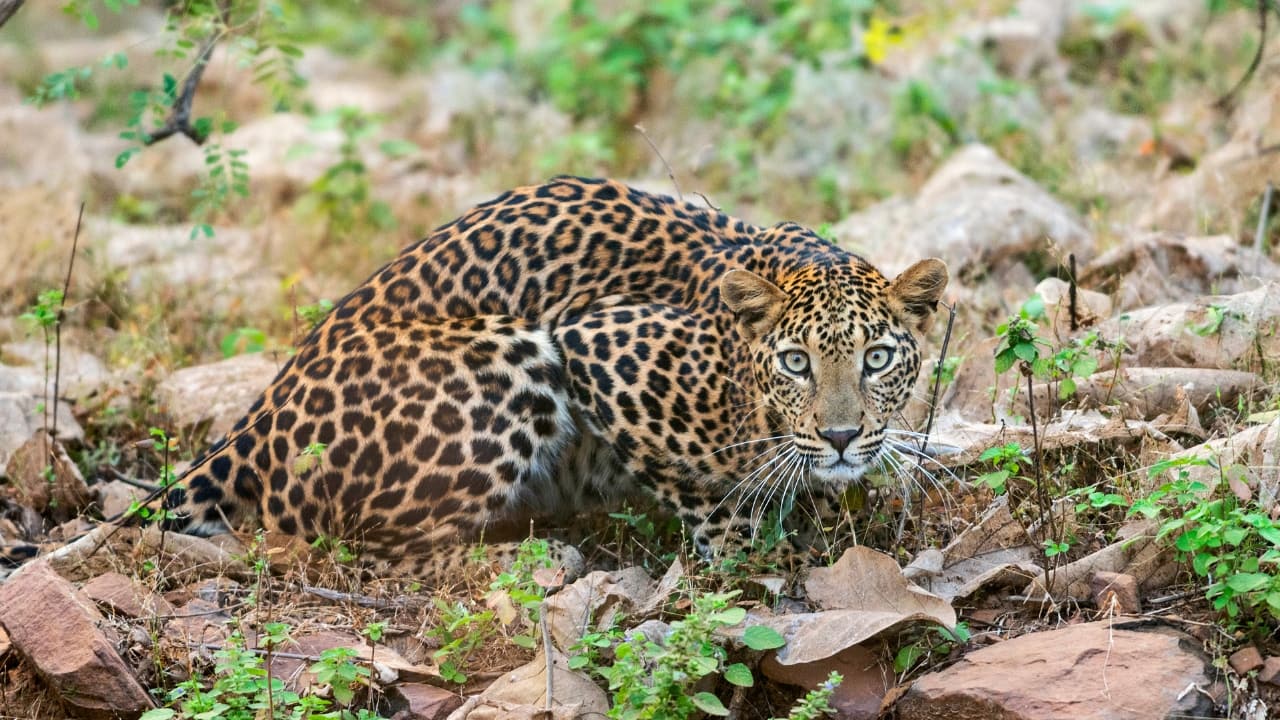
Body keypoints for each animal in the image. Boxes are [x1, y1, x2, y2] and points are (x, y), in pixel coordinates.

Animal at [141, 176, 948, 582]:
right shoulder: (598, 344)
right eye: (795, 362)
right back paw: (534, 555)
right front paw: (761, 552)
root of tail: (260, 418)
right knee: (369, 552)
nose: (840, 436)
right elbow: (710, 500)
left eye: (877, 358)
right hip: (511, 354)